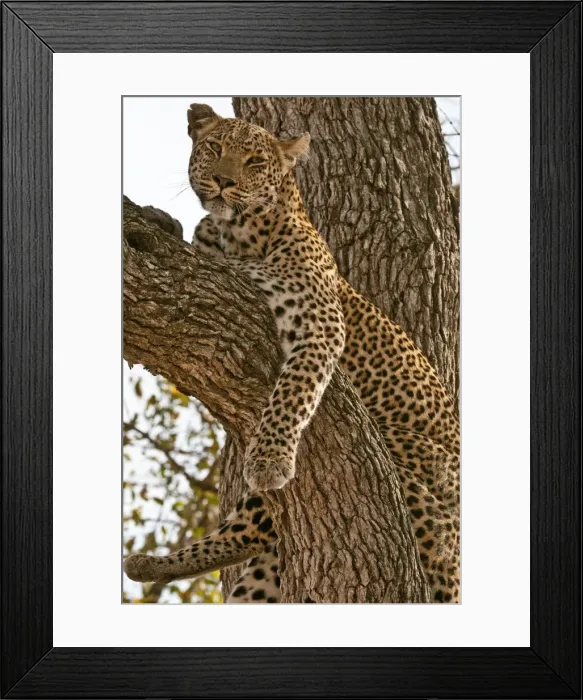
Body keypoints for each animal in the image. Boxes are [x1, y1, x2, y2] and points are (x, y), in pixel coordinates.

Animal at [124, 103, 460, 604]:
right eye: (214, 148)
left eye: (255, 161)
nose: (222, 181)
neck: (237, 234)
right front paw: (158, 222)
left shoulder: (320, 321)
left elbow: (294, 391)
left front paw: (270, 459)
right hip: (265, 576)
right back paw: (154, 564)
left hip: (413, 459)